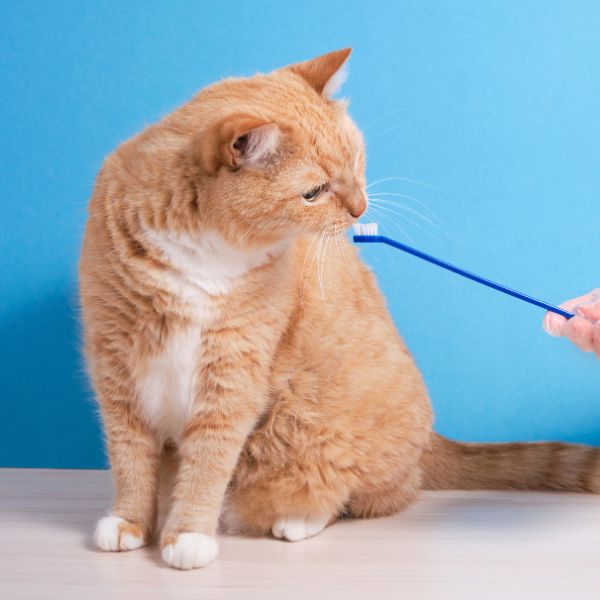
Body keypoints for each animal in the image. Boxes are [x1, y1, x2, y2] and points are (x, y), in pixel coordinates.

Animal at [79, 49, 600, 568]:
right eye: (313, 192)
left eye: (356, 160)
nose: (360, 207)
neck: (203, 252)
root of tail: (431, 438)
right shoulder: (117, 366)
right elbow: (130, 458)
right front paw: (130, 521)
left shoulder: (233, 372)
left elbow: (208, 460)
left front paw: (187, 534)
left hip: (321, 440)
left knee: (364, 495)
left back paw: (298, 519)